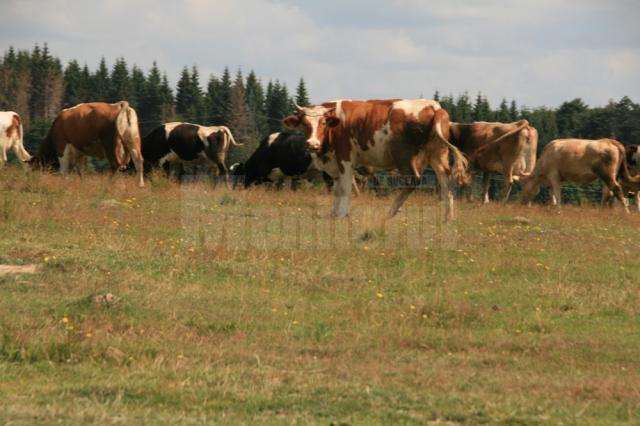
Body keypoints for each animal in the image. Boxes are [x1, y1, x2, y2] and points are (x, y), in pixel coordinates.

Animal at [282, 98, 468, 221]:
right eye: (304, 124)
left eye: (323, 123)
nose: (312, 144)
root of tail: (432, 106)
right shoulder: (334, 165)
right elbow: (337, 189)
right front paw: (333, 214)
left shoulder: (345, 158)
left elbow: (346, 188)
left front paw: (342, 214)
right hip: (438, 154)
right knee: (445, 181)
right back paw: (448, 217)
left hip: (405, 156)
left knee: (413, 180)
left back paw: (390, 213)